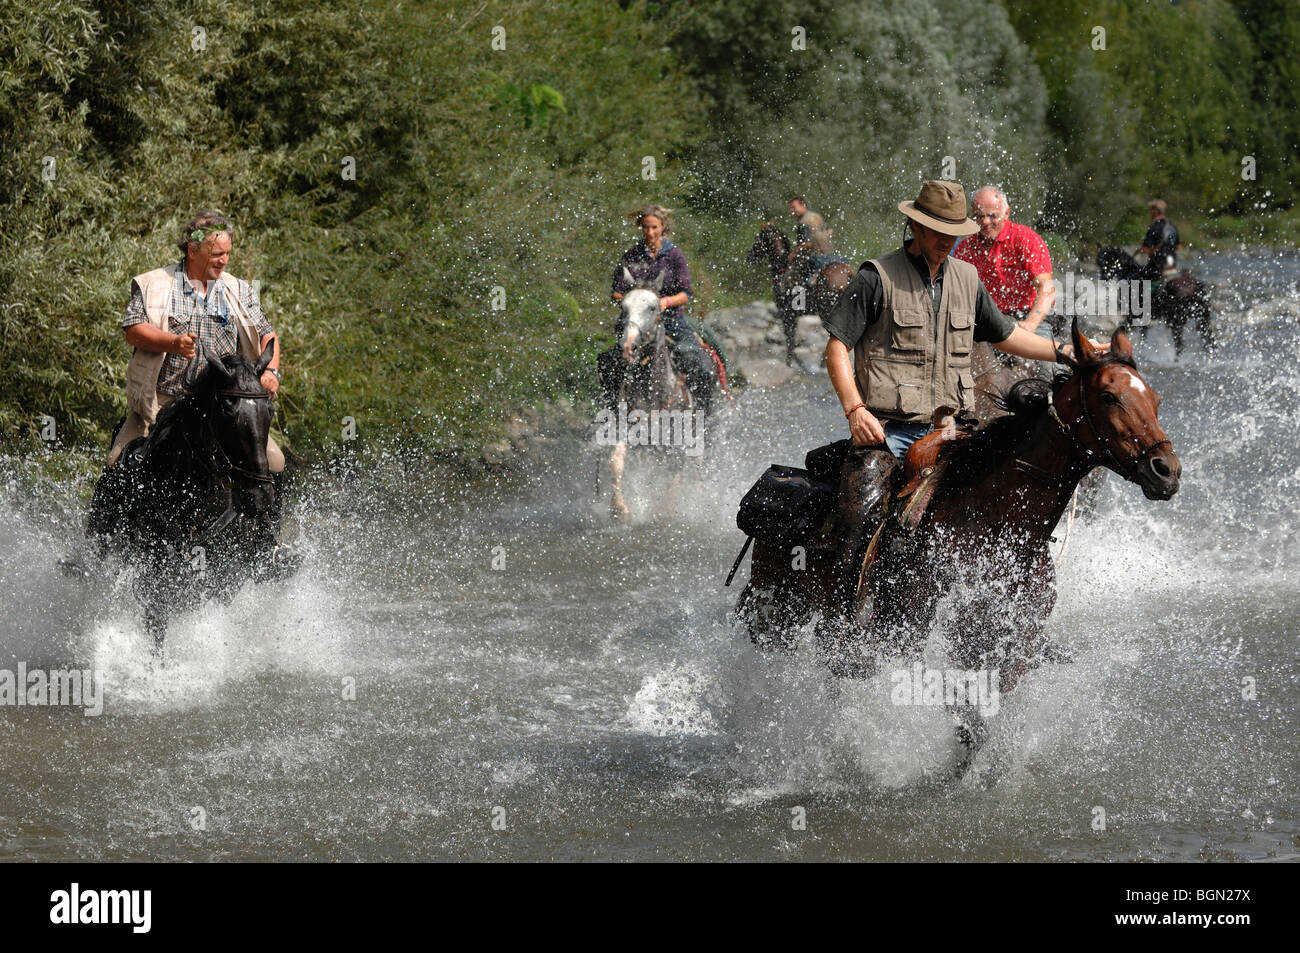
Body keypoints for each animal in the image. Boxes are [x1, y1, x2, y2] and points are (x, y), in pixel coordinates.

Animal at [738, 315, 1185, 774]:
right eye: (1109, 396)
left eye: (1155, 398)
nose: (1165, 470)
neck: (997, 529)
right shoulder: (927, 636)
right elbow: (962, 706)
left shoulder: (1009, 641)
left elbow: (991, 698)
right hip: (779, 614)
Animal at [748, 222, 857, 369]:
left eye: (757, 238)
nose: (748, 256)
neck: (783, 269)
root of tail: (848, 275)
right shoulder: (793, 316)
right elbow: (791, 341)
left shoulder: (787, 314)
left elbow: (790, 340)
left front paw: (790, 363)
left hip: (826, 311)